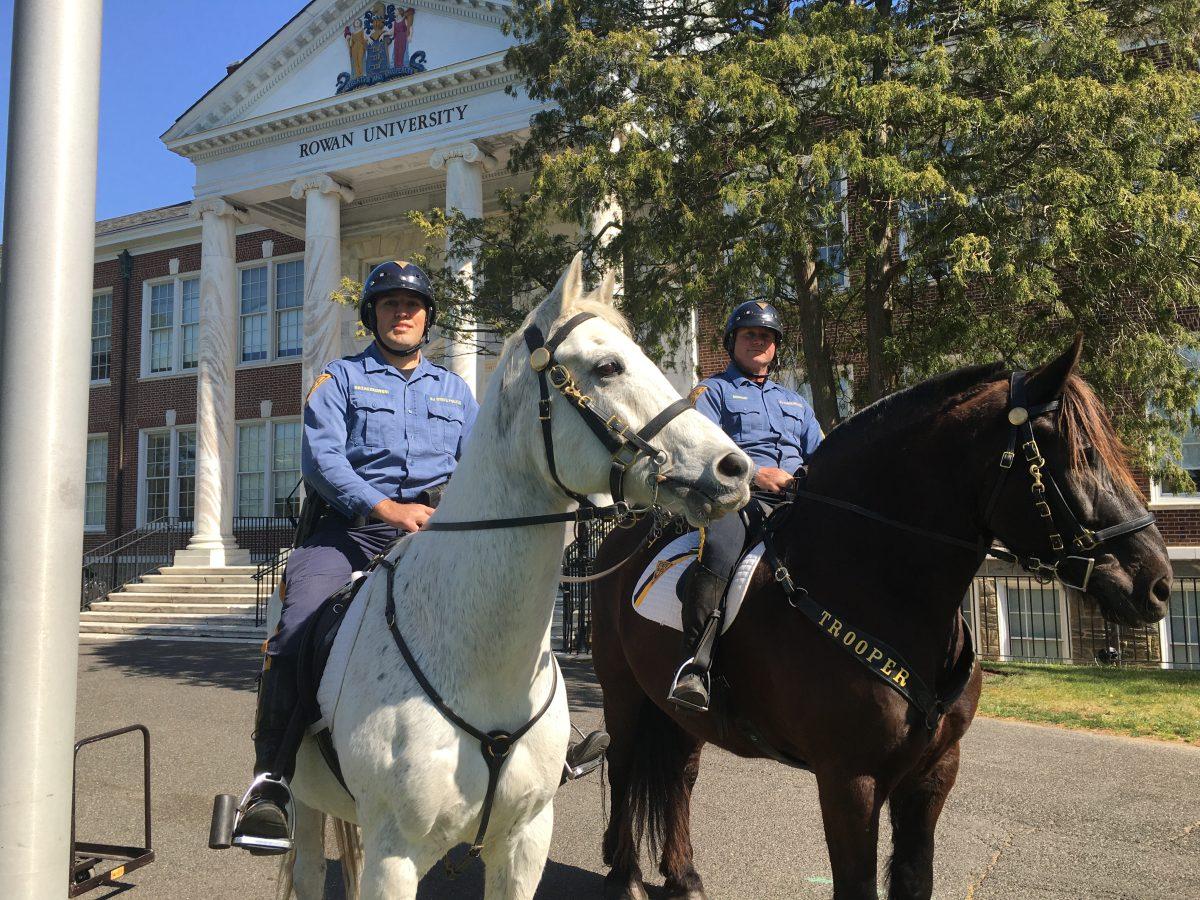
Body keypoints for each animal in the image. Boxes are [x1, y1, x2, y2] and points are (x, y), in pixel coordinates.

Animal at [276, 255, 753, 900]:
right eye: (607, 367)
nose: (734, 469)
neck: (482, 663)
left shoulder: (524, 842)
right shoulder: (392, 858)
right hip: (304, 805)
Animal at [590, 340, 1171, 900]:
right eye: (1079, 455)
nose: (1157, 582)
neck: (876, 583)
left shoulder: (934, 772)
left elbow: (915, 879)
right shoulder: (850, 779)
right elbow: (857, 885)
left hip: (679, 711)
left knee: (680, 778)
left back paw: (683, 877)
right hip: (621, 689)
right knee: (622, 768)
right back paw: (625, 876)